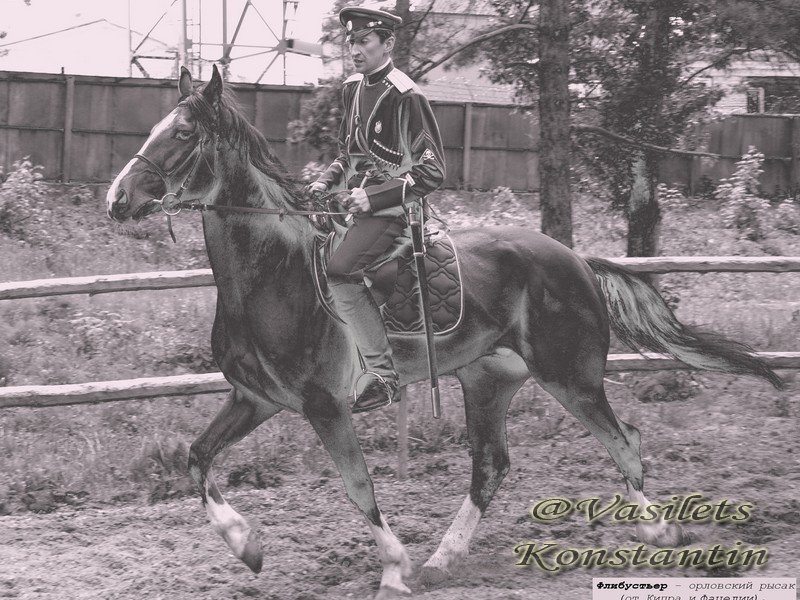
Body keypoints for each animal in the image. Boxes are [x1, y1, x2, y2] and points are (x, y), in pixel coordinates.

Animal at [104, 63, 780, 596]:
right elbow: (196, 458)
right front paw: (248, 546)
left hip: (571, 377)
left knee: (624, 441)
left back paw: (658, 530)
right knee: (492, 466)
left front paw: (393, 571)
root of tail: (576, 260)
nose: (117, 200)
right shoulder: (255, 399)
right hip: (488, 381)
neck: (274, 274)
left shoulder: (326, 407)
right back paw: (443, 559)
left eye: (183, 133)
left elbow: (358, 487)